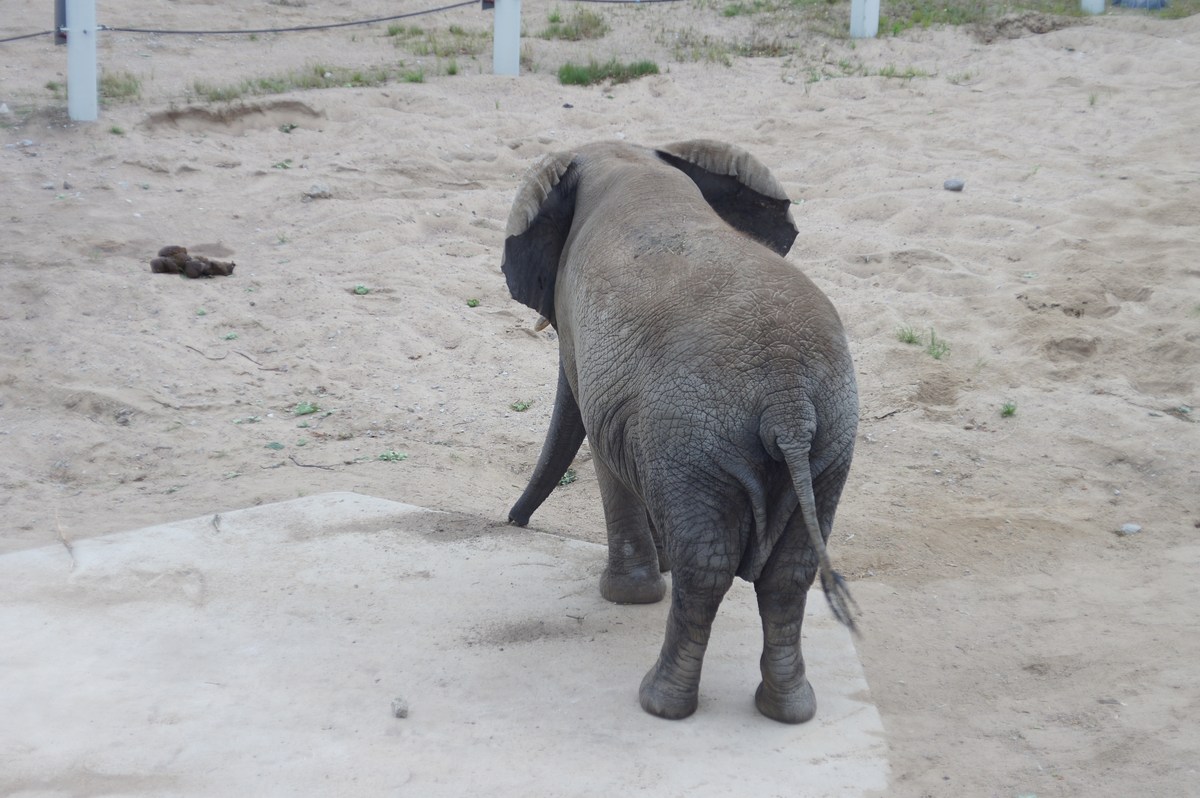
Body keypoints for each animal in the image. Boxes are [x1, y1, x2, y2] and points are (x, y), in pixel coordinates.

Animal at [501, 139, 858, 723]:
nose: (513, 521)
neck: (633, 158)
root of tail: (787, 400)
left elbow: (599, 440)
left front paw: (627, 595)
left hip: (696, 437)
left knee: (708, 568)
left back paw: (660, 703)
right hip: (827, 440)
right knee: (789, 573)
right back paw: (786, 711)